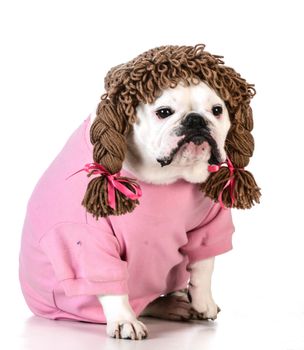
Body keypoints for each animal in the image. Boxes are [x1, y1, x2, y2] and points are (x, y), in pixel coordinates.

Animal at [19, 43, 262, 340]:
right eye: (164, 112)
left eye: (217, 110)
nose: (196, 120)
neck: (167, 176)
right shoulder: (85, 238)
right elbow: (109, 282)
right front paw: (124, 321)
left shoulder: (211, 223)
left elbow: (204, 264)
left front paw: (203, 301)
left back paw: (176, 303)